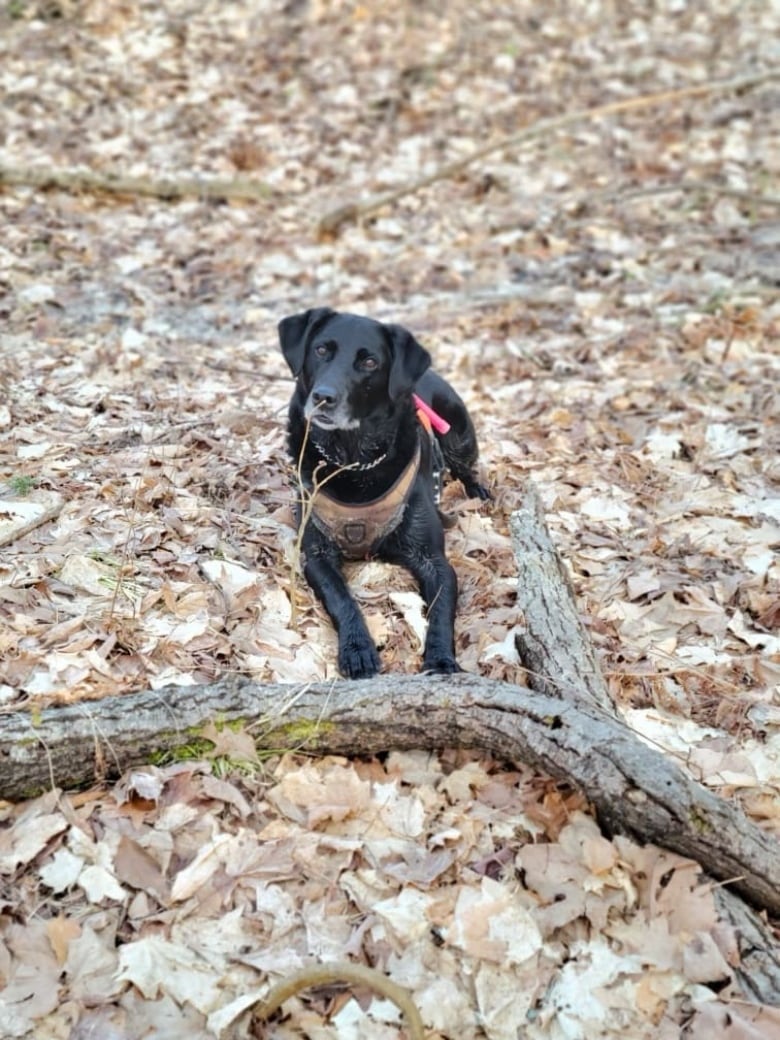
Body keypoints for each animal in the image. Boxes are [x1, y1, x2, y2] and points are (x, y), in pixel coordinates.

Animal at [278, 305, 488, 682]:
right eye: (321, 349)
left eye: (369, 362)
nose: (323, 397)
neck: (353, 461)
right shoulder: (316, 555)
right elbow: (341, 598)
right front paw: (357, 648)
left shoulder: (434, 561)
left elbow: (441, 611)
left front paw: (440, 658)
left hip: (458, 432)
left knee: (465, 465)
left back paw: (477, 489)